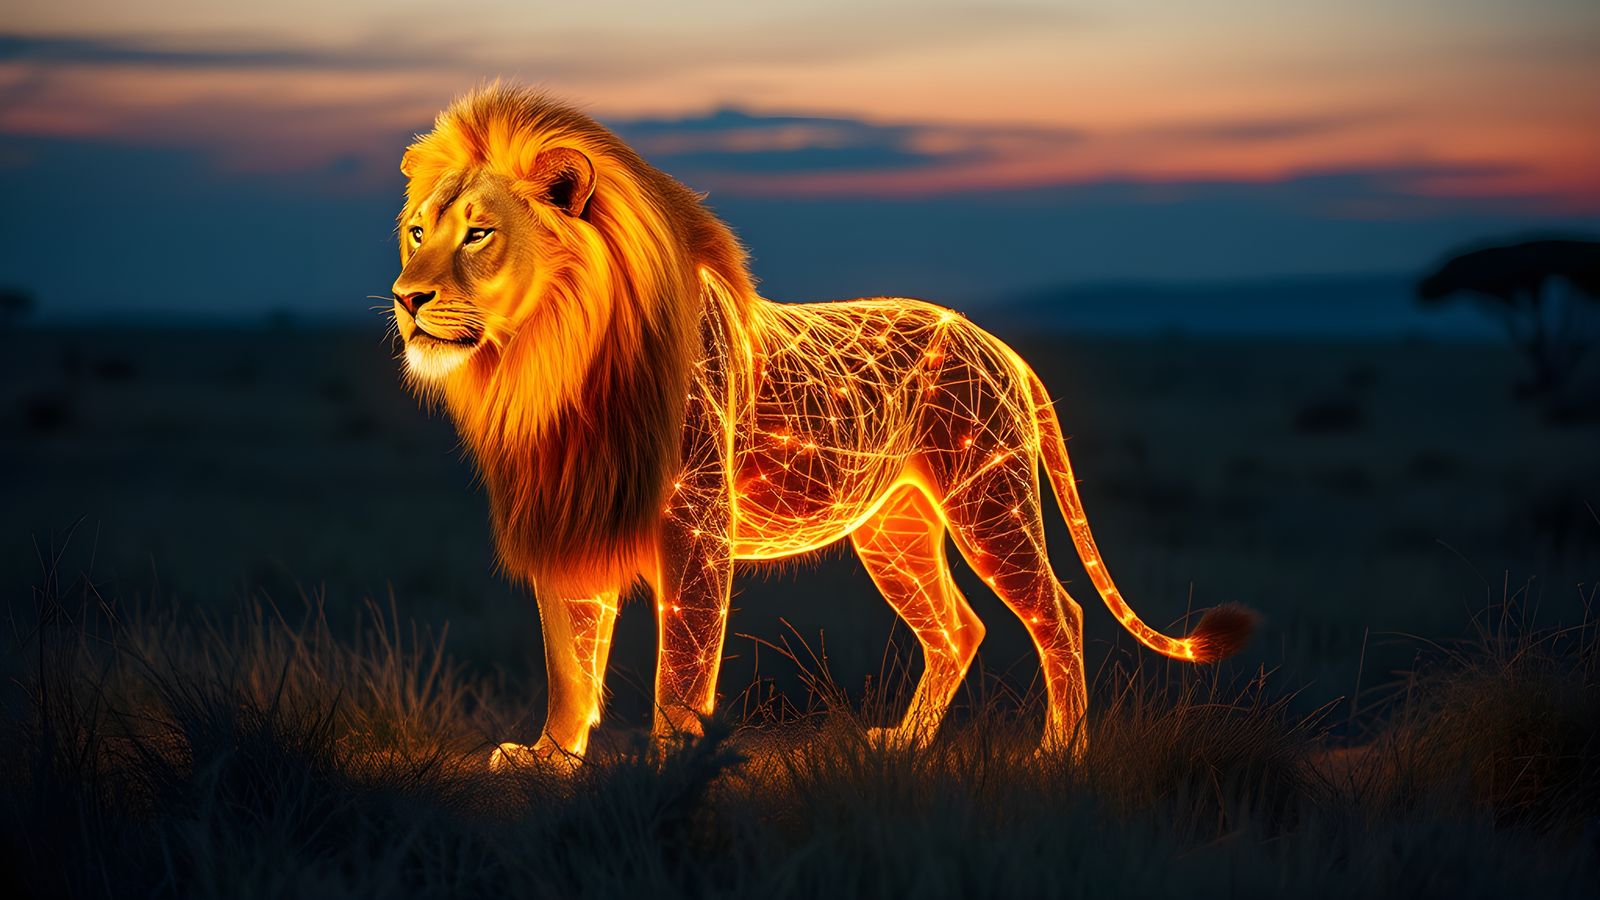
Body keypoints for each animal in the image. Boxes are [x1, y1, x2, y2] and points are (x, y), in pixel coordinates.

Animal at [389, 85, 1253, 769]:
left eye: (478, 233)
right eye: (416, 231)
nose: (405, 298)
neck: (544, 361)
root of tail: (995, 341)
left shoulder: (695, 522)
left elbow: (684, 661)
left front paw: (671, 760)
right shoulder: (573, 510)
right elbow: (570, 658)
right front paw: (549, 756)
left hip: (989, 498)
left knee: (1057, 613)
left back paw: (1060, 752)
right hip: (895, 530)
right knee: (957, 629)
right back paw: (905, 743)